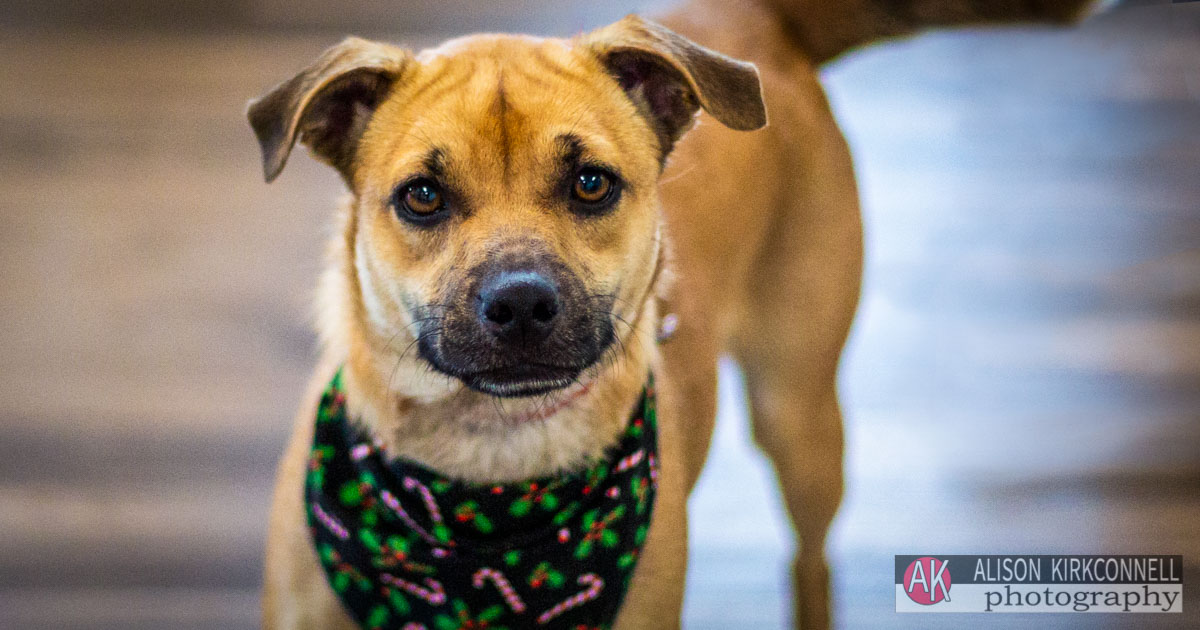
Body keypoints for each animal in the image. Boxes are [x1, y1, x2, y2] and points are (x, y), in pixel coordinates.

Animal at [248, 2, 1099, 624]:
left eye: (591, 183)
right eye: (422, 196)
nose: (520, 302)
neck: (491, 476)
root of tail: (755, 13)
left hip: (799, 413)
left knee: (812, 559)